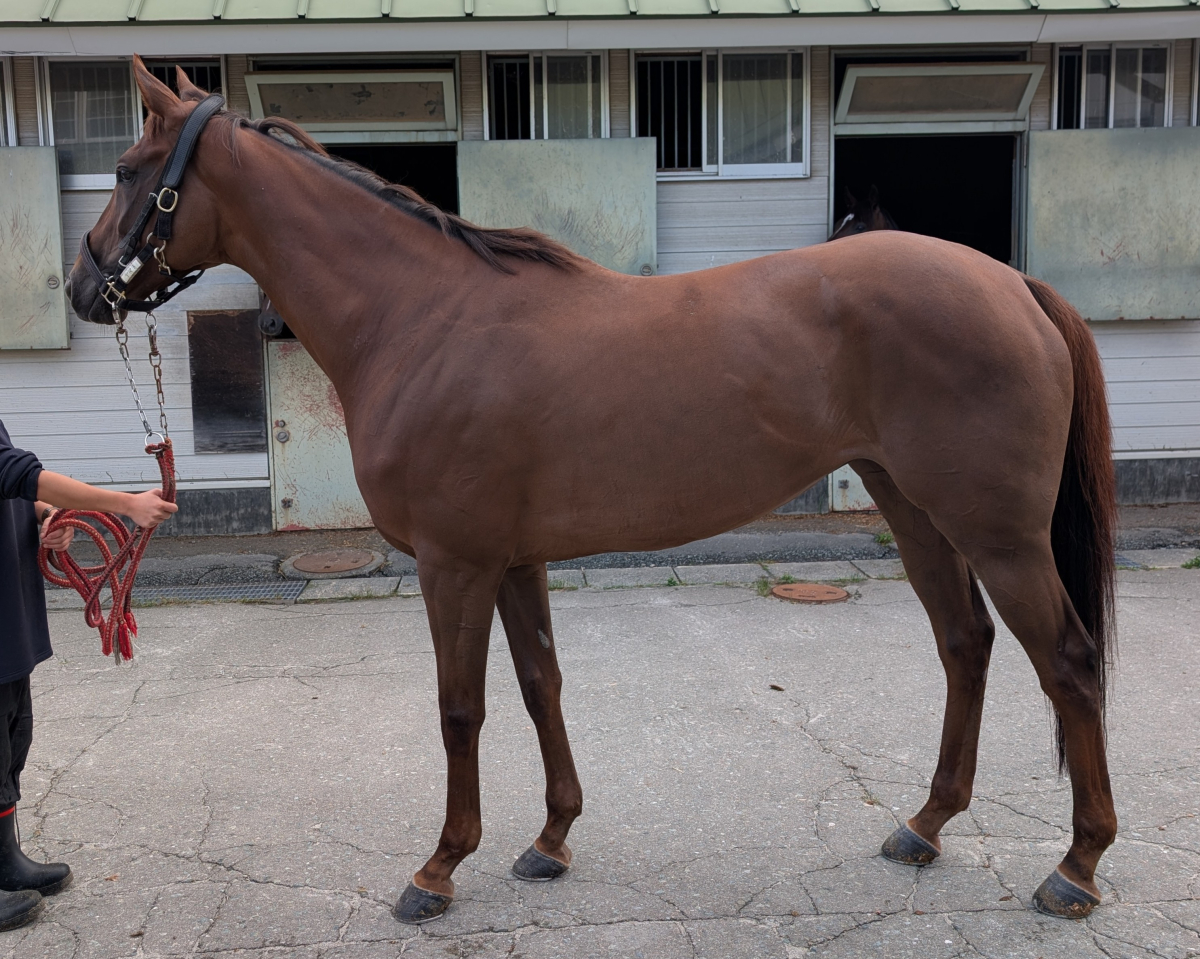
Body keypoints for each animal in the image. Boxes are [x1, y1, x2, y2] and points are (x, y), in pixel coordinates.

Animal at [67, 60, 1119, 924]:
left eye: (123, 167)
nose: (82, 286)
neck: (422, 317)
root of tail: (1014, 284)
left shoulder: (454, 564)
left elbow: (460, 707)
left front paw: (439, 867)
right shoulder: (513, 559)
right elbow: (542, 686)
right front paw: (550, 840)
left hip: (999, 532)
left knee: (1066, 661)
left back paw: (1076, 866)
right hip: (916, 511)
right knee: (965, 644)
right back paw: (926, 824)